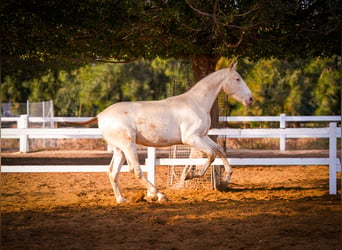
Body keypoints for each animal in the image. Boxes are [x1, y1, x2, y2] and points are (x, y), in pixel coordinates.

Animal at [67, 62, 254, 203]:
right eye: (237, 79)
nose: (250, 99)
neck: (196, 103)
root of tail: (101, 115)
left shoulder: (202, 136)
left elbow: (219, 151)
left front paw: (226, 178)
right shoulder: (191, 139)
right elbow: (211, 155)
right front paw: (189, 175)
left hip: (119, 149)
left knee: (113, 172)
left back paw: (122, 200)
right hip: (128, 146)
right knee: (136, 171)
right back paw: (160, 195)